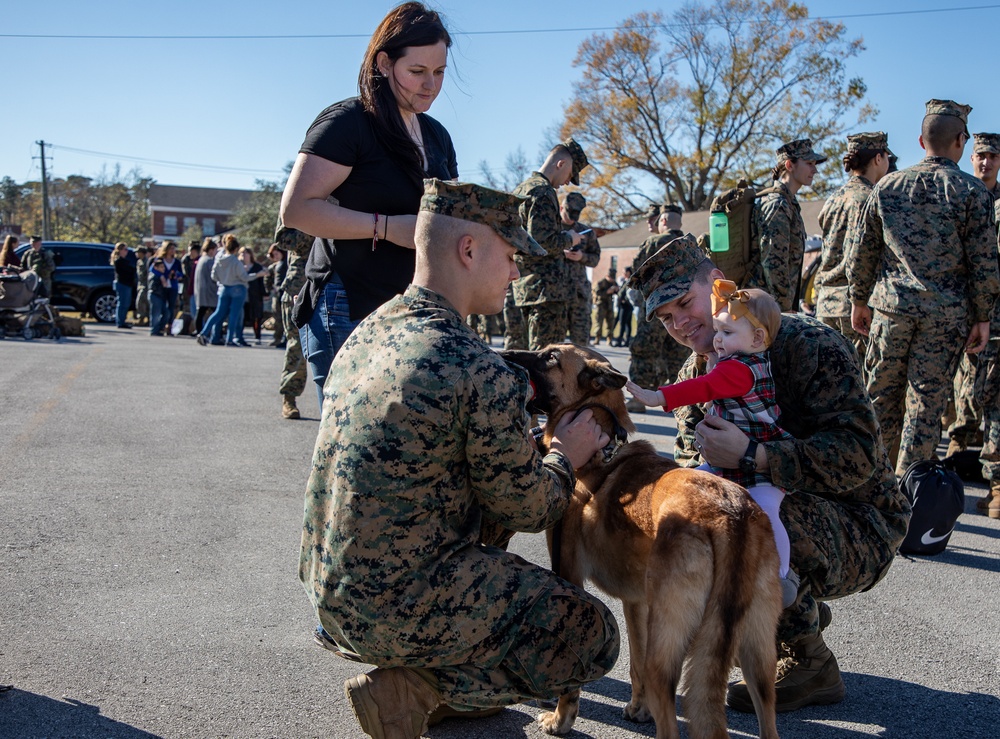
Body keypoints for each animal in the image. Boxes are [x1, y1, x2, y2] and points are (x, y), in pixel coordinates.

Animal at [500, 346, 780, 739]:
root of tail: (731, 514)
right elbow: (635, 660)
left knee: (667, 709)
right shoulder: (637, 603)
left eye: (550, 356)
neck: (600, 447)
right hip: (758, 657)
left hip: (669, 647)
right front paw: (638, 708)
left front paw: (560, 718)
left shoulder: (569, 572)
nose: (504, 354)